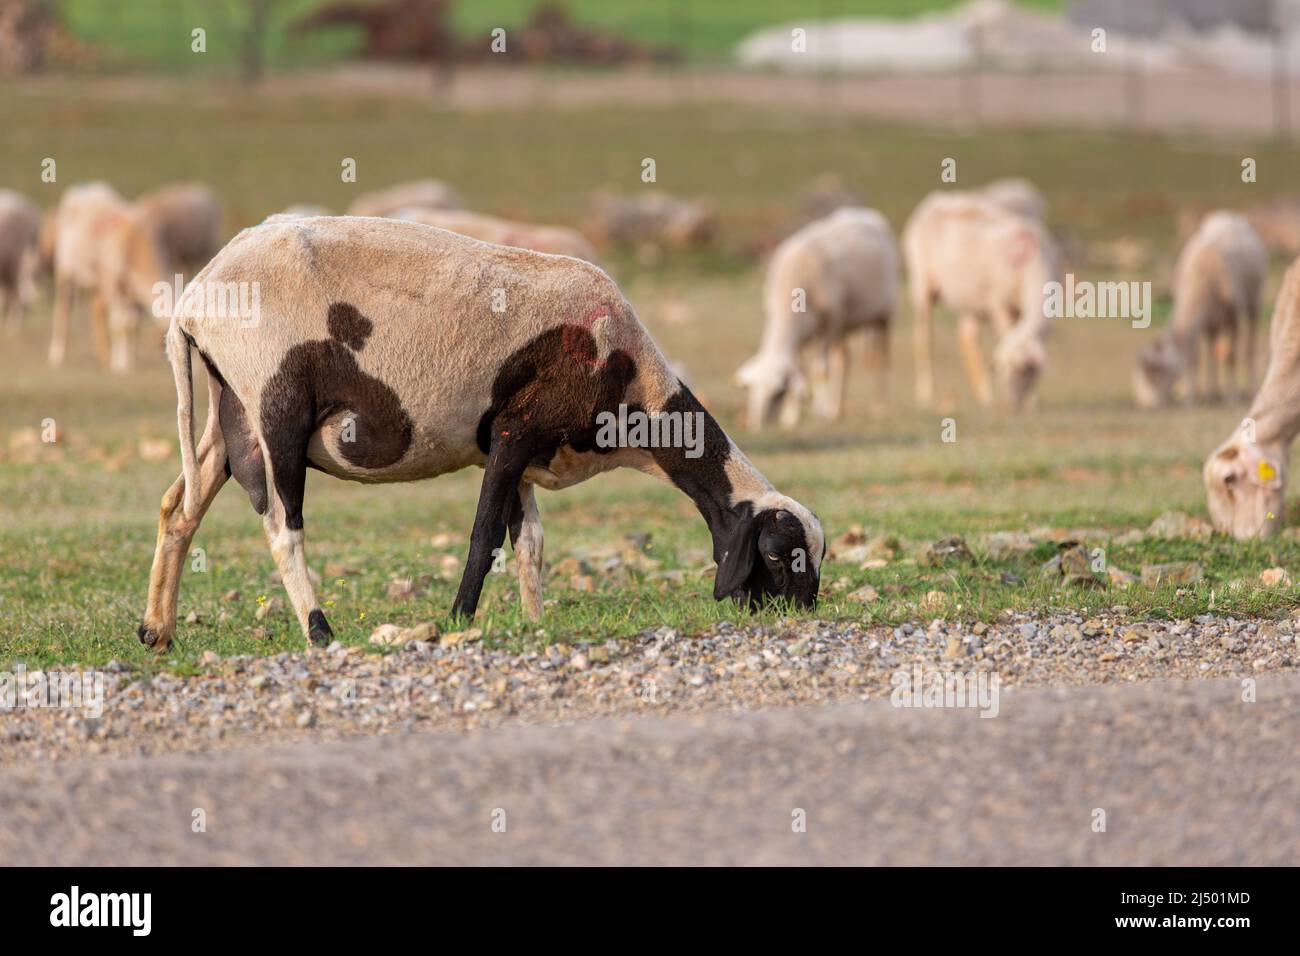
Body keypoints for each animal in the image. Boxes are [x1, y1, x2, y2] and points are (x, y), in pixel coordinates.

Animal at [47, 182, 168, 372]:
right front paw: (121, 363)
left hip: (98, 282)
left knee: (96, 312)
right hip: (66, 269)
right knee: (63, 309)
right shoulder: (112, 282)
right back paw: (57, 354)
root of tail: (84, 186)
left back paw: (104, 356)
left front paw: (129, 358)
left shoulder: (129, 288)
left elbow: (132, 323)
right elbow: (120, 323)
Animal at [138, 215, 825, 652]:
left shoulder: (518, 452)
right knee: (284, 527)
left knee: (179, 507)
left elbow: (531, 543)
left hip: (230, 411)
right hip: (275, 405)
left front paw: (533, 623)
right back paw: (320, 631)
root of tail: (194, 301)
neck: (632, 383)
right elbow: (483, 538)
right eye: (774, 553)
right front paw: (458, 619)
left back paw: (157, 630)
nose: (803, 615)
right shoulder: (516, 433)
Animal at [735, 207, 897, 430]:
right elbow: (799, 370)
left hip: (882, 314)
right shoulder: (803, 334)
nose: (756, 426)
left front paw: (819, 411)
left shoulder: (828, 324)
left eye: (778, 393)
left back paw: (879, 407)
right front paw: (791, 417)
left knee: (882, 358)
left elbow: (819, 370)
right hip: (845, 323)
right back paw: (837, 411)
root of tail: (862, 212)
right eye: (750, 390)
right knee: (843, 360)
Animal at [902, 191, 1061, 410]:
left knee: (966, 337)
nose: (1010, 405)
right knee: (924, 338)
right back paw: (926, 392)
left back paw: (982, 393)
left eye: (1025, 373)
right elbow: (1003, 335)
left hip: (972, 300)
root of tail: (934, 199)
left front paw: (1032, 401)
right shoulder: (999, 305)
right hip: (921, 286)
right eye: (1003, 371)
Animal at [1134, 212, 1266, 409]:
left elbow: (1231, 356)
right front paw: (1192, 398)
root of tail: (1228, 215)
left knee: (1249, 344)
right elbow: (1195, 358)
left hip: (1253, 302)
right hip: (1215, 321)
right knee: (1213, 352)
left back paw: (1251, 390)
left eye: (1156, 371)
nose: (1146, 404)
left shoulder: (1234, 314)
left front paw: (1232, 398)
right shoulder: (1203, 323)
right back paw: (1213, 393)